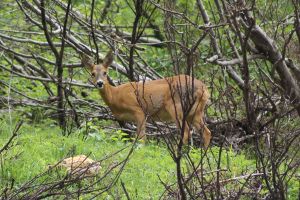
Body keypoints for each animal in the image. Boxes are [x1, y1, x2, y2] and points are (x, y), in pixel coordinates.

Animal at [81, 50, 211, 148]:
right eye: (92, 73)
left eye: (105, 72)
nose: (100, 83)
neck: (116, 96)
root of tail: (203, 88)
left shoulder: (139, 110)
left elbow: (142, 137)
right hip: (196, 111)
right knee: (207, 132)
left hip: (176, 106)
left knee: (186, 132)